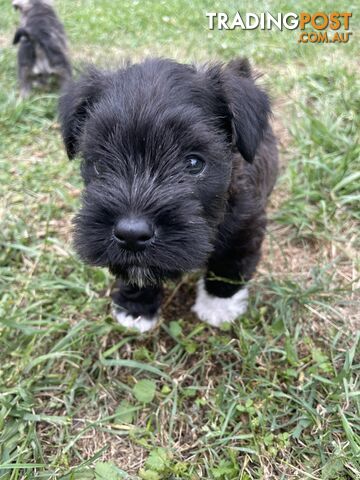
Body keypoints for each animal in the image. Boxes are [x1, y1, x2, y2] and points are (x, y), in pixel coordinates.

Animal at [58, 58, 278, 332]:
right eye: (99, 163)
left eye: (194, 163)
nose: (131, 234)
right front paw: (135, 307)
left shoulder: (245, 225)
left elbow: (229, 264)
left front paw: (218, 306)